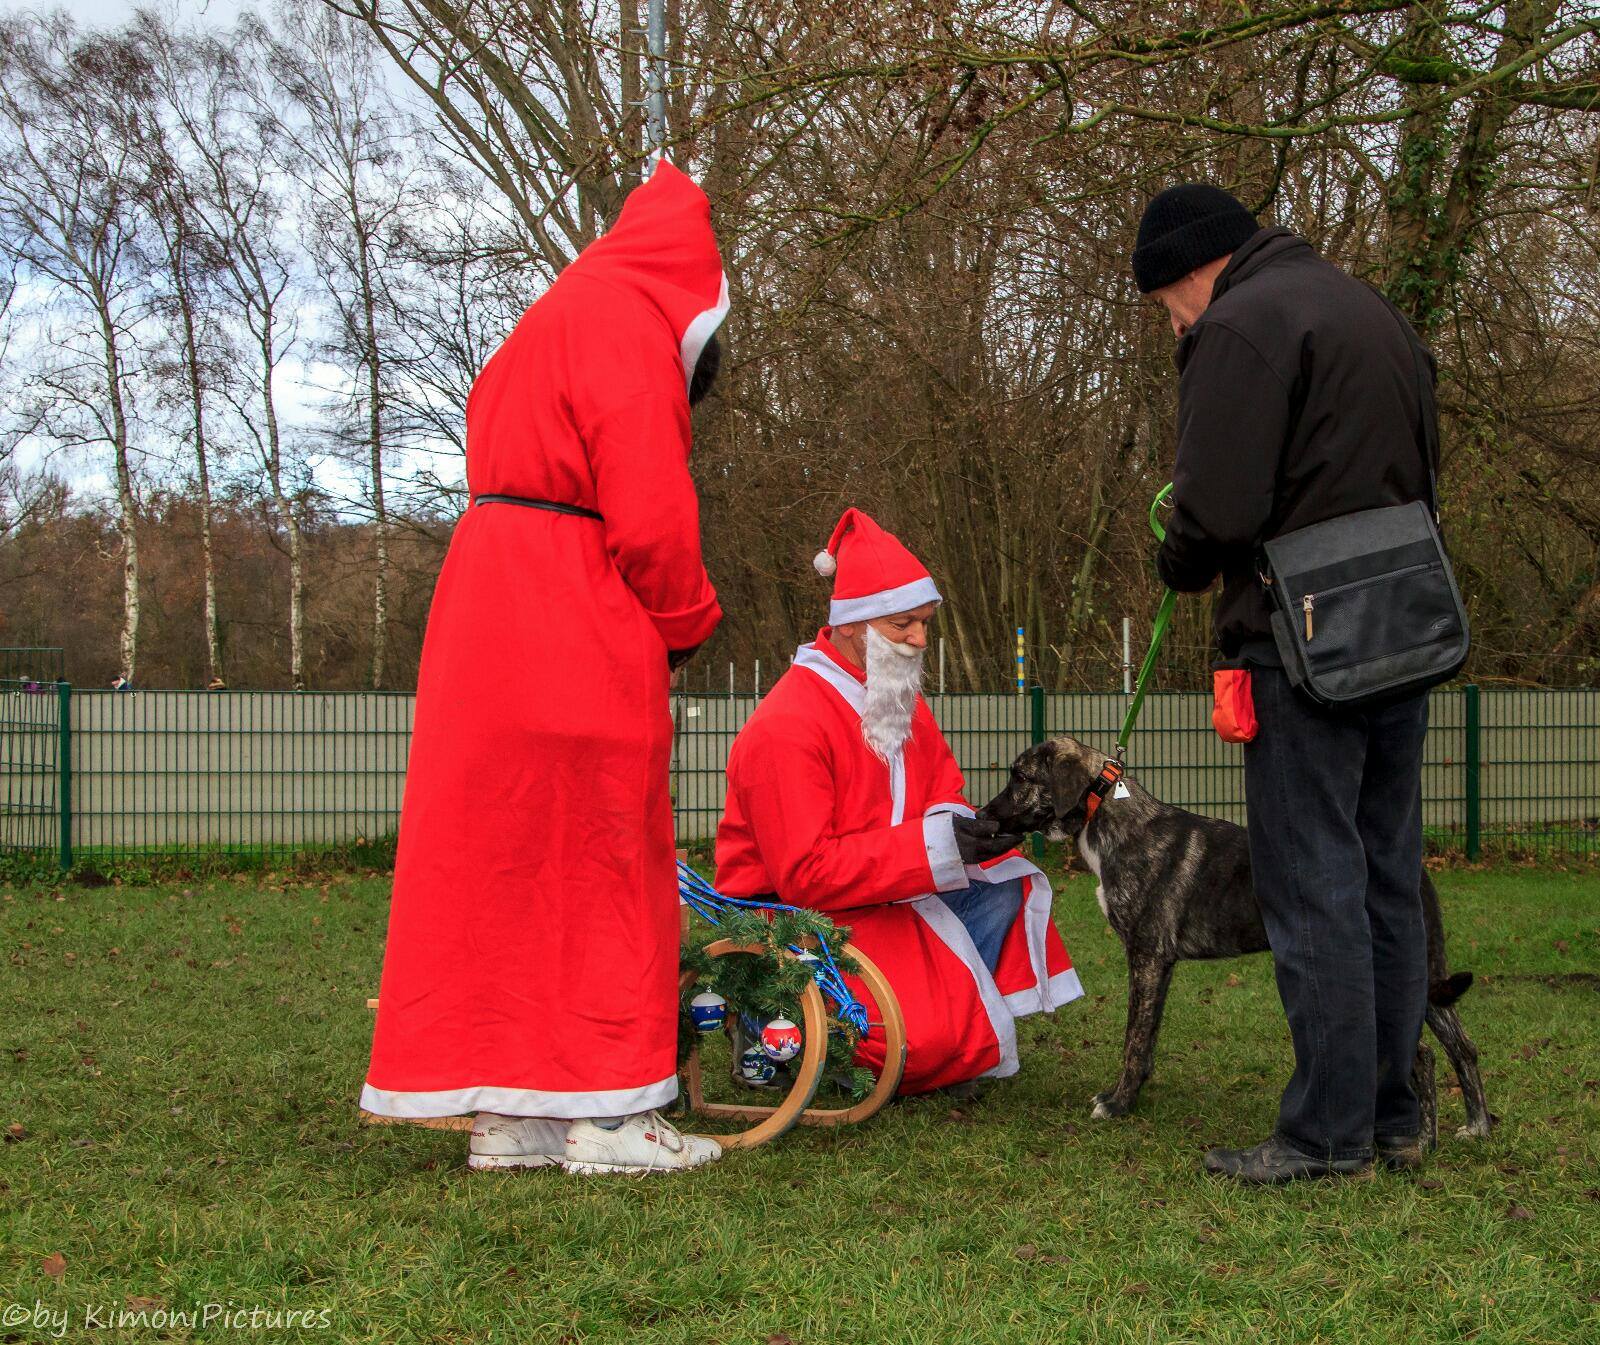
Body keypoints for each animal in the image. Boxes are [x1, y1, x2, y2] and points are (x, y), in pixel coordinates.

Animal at [980, 735, 1493, 1143]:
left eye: (1019, 776)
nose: (983, 816)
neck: (1108, 816)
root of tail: (1413, 872)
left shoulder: (1146, 957)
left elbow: (1133, 1039)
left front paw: (1119, 1103)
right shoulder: (1160, 964)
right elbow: (1148, 1039)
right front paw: (1134, 1093)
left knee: (1422, 1055)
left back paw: (1421, 1142)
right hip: (1424, 975)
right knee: (1461, 1048)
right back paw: (1476, 1127)